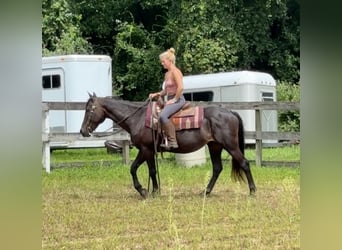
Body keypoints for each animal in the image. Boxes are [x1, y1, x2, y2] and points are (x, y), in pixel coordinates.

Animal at [81, 93, 256, 198]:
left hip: (230, 145)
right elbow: (133, 168)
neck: (137, 118)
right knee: (217, 168)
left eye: (89, 109)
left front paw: (154, 191)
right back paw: (205, 192)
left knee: (244, 163)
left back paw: (252, 191)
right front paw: (143, 190)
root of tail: (230, 112)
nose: (83, 131)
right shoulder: (143, 150)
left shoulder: (147, 149)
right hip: (215, 146)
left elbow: (151, 170)